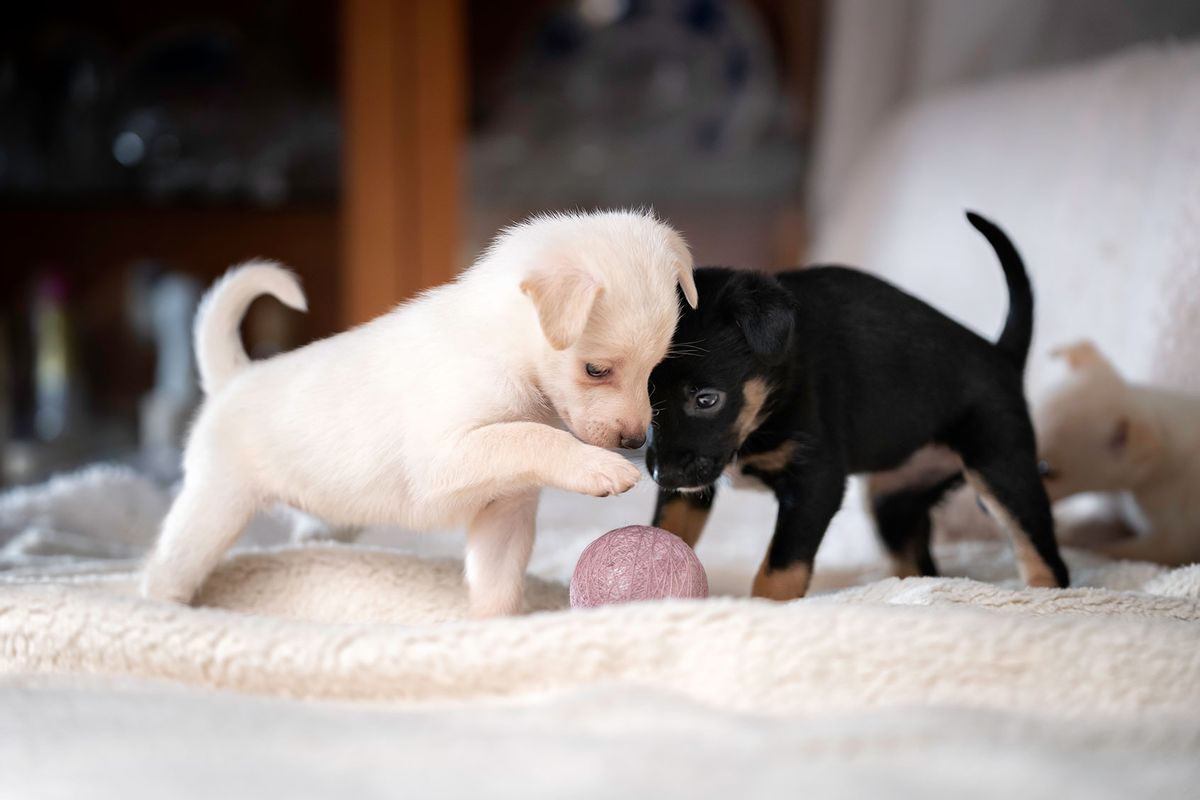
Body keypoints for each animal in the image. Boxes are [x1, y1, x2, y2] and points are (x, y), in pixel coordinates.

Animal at [141, 209, 700, 618]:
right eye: (596, 370)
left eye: (653, 369)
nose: (635, 443)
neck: (503, 348)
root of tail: (234, 379)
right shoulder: (444, 458)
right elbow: (533, 437)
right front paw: (598, 467)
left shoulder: (506, 511)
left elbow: (497, 584)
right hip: (214, 508)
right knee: (164, 571)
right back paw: (163, 613)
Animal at [648, 212, 1070, 599]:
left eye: (707, 400)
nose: (662, 474)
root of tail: (1001, 355)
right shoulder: (689, 490)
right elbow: (667, 528)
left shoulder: (815, 481)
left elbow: (779, 569)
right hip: (893, 502)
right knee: (921, 564)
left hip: (1002, 470)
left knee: (1043, 555)